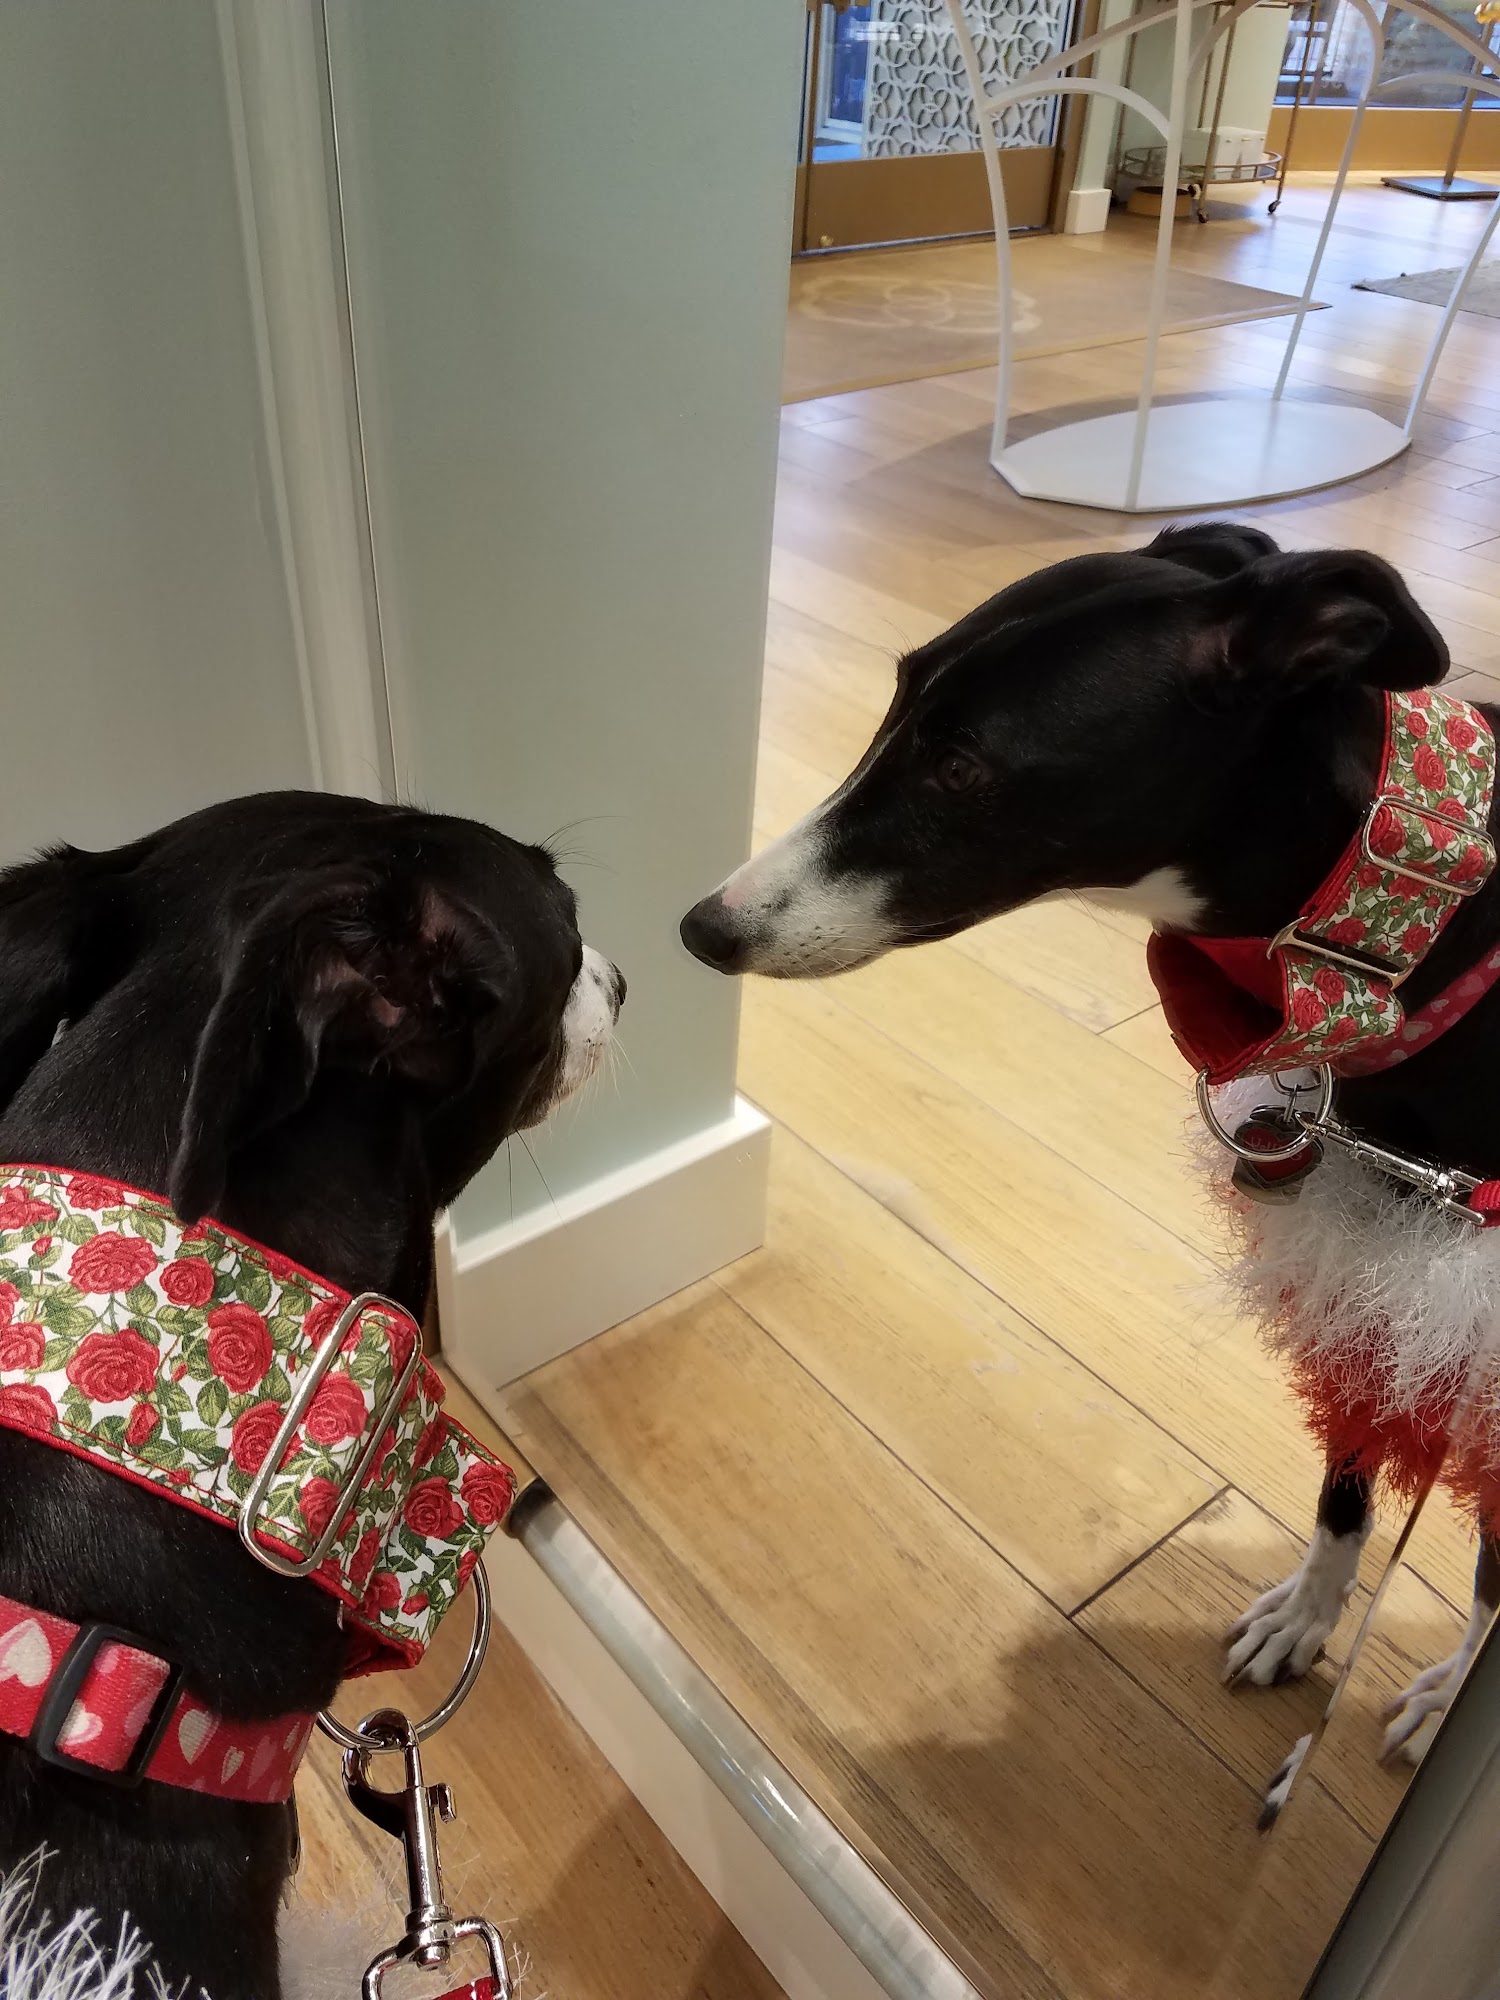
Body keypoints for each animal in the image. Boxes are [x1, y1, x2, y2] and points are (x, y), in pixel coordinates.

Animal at [681, 520, 1500, 1816]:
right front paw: (1306, 1616)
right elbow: (1343, 1485)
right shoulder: (1372, 1266)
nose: (705, 928)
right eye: (898, 700)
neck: (1408, 940)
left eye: (964, 765)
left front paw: (1445, 1701)